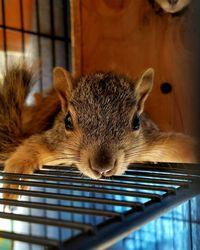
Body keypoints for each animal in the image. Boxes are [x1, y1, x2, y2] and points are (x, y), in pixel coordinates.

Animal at [0, 63, 197, 199]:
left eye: (136, 122)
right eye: (67, 121)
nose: (102, 167)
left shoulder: (150, 141)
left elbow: (177, 145)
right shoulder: (54, 143)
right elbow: (32, 146)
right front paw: (15, 178)